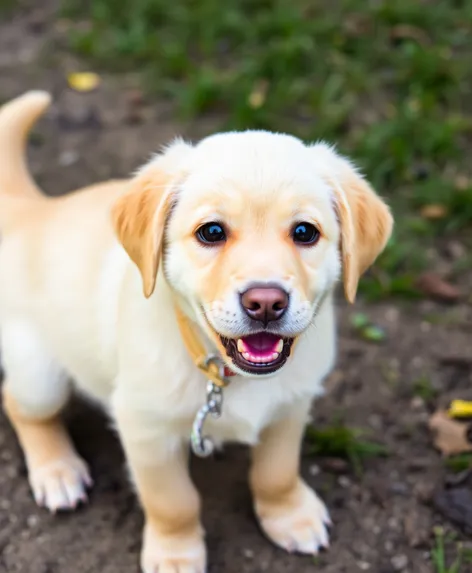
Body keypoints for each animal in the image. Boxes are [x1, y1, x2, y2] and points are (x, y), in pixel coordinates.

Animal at [0, 91, 392, 568]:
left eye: (304, 232)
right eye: (211, 232)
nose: (266, 302)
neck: (227, 375)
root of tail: (34, 211)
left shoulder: (292, 405)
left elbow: (277, 472)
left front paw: (290, 516)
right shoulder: (144, 428)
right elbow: (174, 502)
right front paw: (175, 554)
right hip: (40, 377)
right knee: (20, 405)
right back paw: (56, 471)